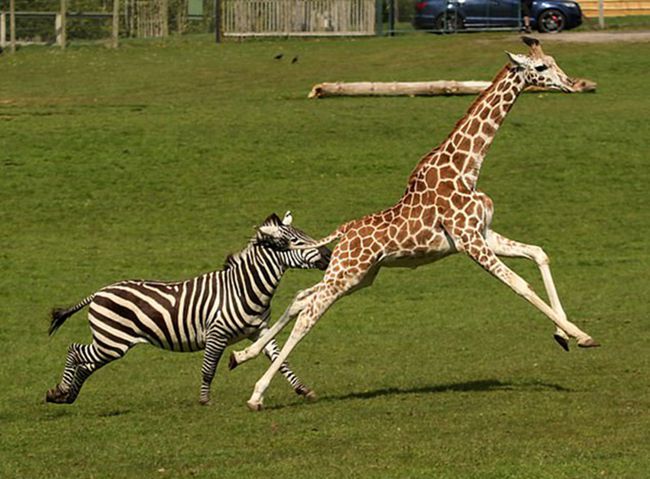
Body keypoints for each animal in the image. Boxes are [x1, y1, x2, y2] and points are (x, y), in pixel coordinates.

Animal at [45, 213, 330, 404]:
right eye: (297, 241)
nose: (328, 255)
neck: (244, 287)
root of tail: (98, 292)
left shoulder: (258, 330)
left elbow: (281, 360)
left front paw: (303, 390)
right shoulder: (216, 333)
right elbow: (209, 368)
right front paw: (205, 401)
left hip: (110, 343)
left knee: (85, 363)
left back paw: (65, 395)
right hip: (113, 341)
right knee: (75, 351)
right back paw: (60, 391)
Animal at [232, 38, 596, 412]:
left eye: (553, 60)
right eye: (540, 68)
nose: (571, 83)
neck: (467, 168)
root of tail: (344, 231)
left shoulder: (482, 234)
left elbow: (538, 253)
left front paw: (568, 334)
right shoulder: (470, 241)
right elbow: (520, 284)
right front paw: (580, 335)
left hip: (358, 275)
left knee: (302, 297)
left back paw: (242, 355)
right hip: (347, 272)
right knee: (308, 313)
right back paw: (256, 394)